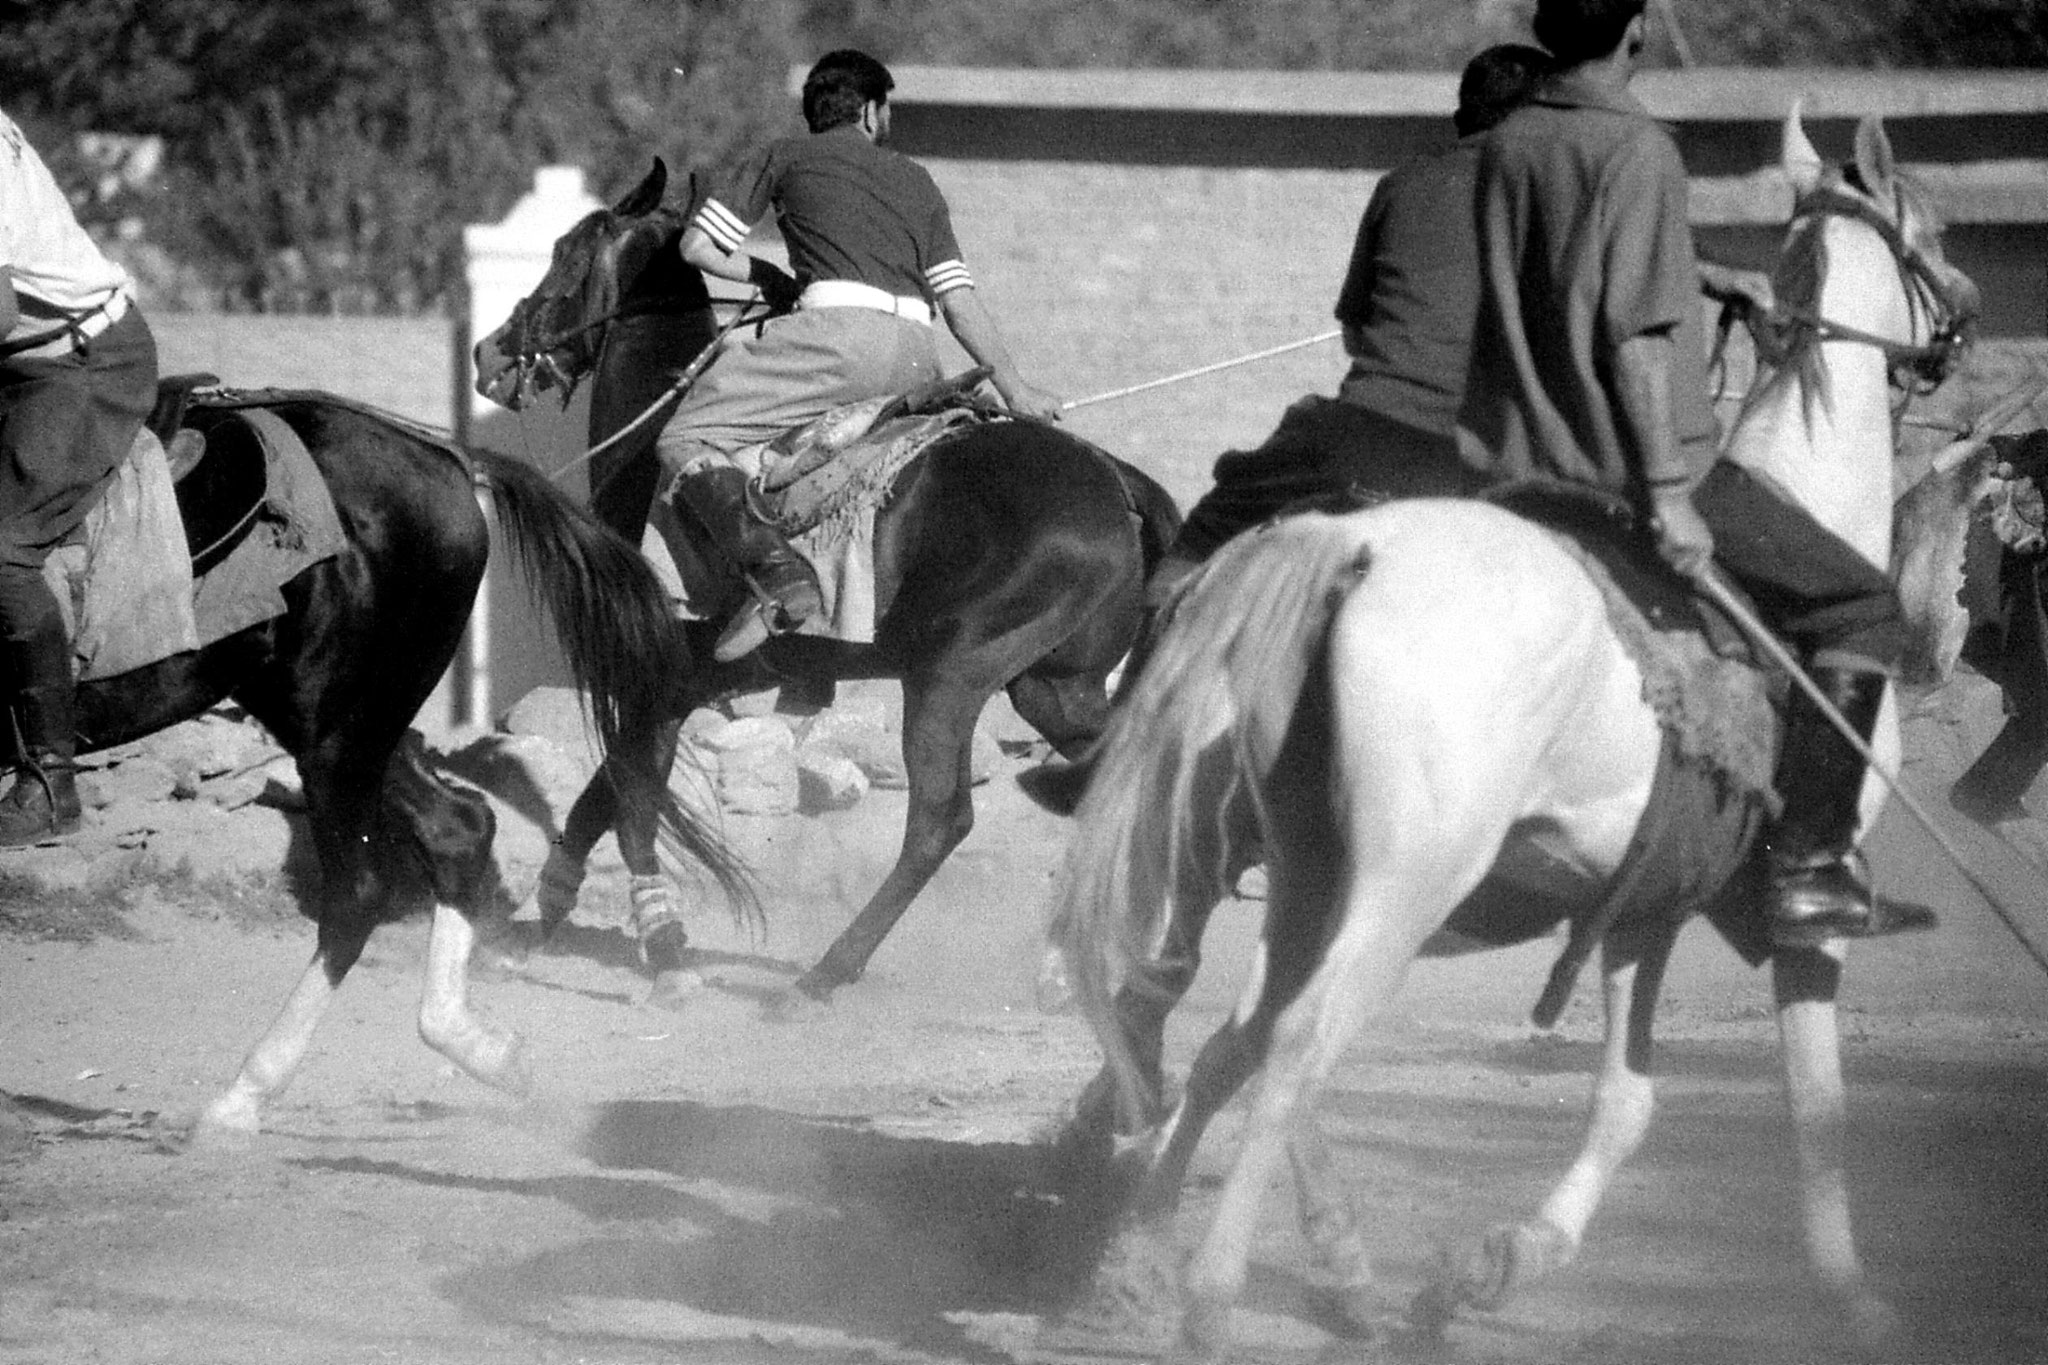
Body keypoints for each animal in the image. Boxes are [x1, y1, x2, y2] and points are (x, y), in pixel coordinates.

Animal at [86, 382, 753, 1146]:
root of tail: (450, 462)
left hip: (340, 732)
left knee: (361, 892)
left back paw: (244, 1095)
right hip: (343, 724)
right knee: (458, 827)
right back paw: (479, 1044)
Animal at [475, 165, 1187, 1010]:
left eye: (564, 253)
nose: (491, 349)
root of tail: (1117, 483)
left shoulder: (670, 669)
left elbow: (631, 801)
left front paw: (665, 947)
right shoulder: (696, 677)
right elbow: (603, 795)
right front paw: (541, 920)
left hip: (949, 678)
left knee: (940, 822)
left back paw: (824, 972)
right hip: (1057, 689)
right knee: (1116, 784)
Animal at [1048, 101, 1974, 1358]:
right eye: (1931, 229)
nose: (1968, 308)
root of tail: (1342, 544)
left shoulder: (1646, 902)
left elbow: (1627, 1101)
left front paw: (1491, 1265)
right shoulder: (1796, 923)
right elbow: (1814, 1107)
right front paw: (1849, 1297)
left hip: (1287, 867)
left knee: (1205, 1027)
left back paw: (1132, 1249)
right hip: (1402, 879)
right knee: (1286, 1045)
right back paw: (1215, 1289)